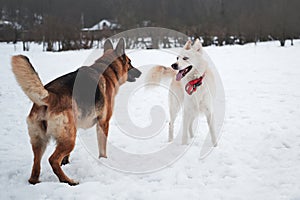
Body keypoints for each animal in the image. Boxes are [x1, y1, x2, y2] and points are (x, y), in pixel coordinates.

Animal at [11, 38, 142, 186]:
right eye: (130, 62)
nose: (140, 73)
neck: (107, 70)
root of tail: (51, 96)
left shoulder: (77, 126)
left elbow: (66, 157)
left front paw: (66, 162)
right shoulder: (103, 123)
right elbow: (102, 147)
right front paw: (103, 160)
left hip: (42, 142)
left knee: (35, 167)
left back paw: (37, 181)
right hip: (68, 140)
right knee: (52, 160)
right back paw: (68, 181)